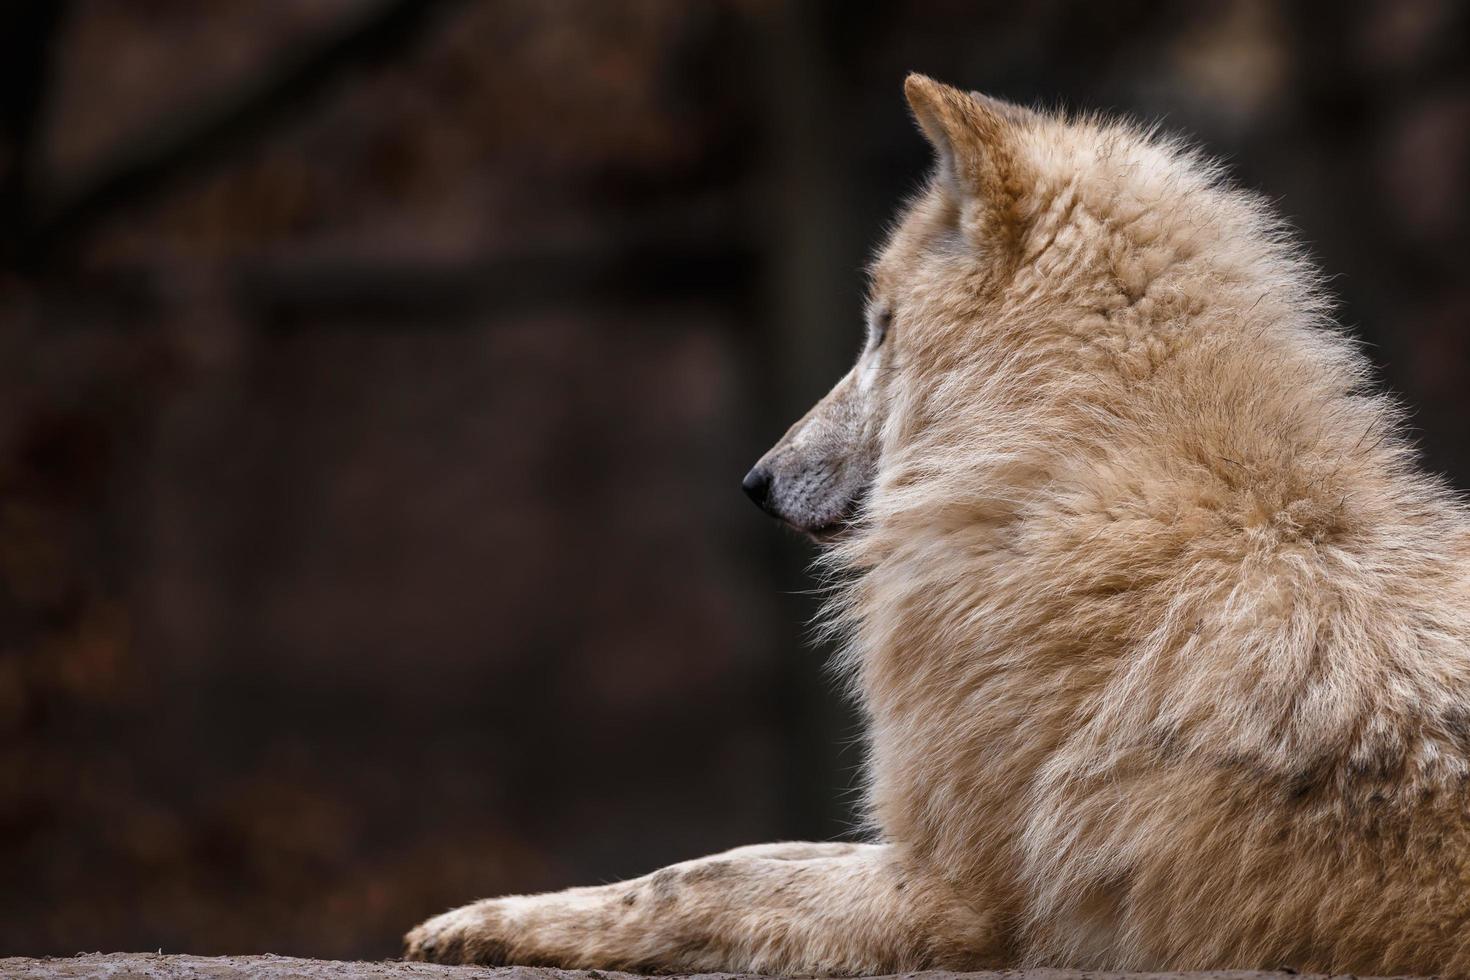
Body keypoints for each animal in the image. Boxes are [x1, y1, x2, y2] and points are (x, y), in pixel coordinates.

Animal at [408, 74, 1470, 975]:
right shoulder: (915, 855)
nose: (755, 481)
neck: (1058, 466)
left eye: (880, 328)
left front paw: (483, 924)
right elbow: (731, 857)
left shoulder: (951, 892)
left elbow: (694, 878)